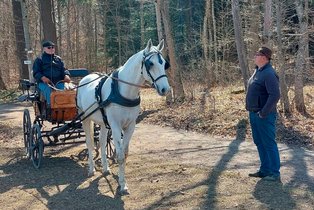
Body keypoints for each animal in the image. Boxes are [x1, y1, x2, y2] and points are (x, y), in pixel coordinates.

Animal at [76, 39, 170, 195]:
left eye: (164, 64)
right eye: (150, 64)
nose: (165, 89)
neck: (124, 92)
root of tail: (85, 79)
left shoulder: (130, 126)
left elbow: (124, 154)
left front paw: (122, 182)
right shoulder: (115, 126)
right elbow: (119, 156)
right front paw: (122, 185)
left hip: (103, 122)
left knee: (102, 141)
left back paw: (106, 168)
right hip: (85, 118)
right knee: (89, 143)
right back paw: (91, 169)